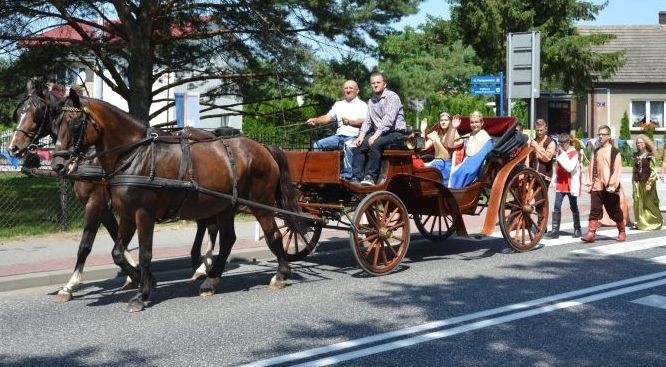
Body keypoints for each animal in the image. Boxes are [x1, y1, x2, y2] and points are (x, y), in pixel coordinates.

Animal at [7, 80, 218, 302]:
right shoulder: (109, 206)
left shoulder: (95, 202)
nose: (13, 148)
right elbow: (116, 236)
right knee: (206, 224)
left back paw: (203, 266)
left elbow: (85, 244)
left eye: (36, 113)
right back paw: (200, 263)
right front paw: (135, 275)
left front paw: (70, 285)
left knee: (211, 226)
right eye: (19, 113)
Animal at [52, 89, 304, 314]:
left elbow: (145, 254)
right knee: (227, 240)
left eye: (75, 125)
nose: (57, 165)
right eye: (55, 125)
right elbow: (117, 253)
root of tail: (263, 147)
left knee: (274, 235)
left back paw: (281, 274)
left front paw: (142, 294)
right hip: (226, 206)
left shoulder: (143, 214)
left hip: (260, 204)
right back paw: (211, 281)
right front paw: (143, 280)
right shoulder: (127, 215)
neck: (134, 155)